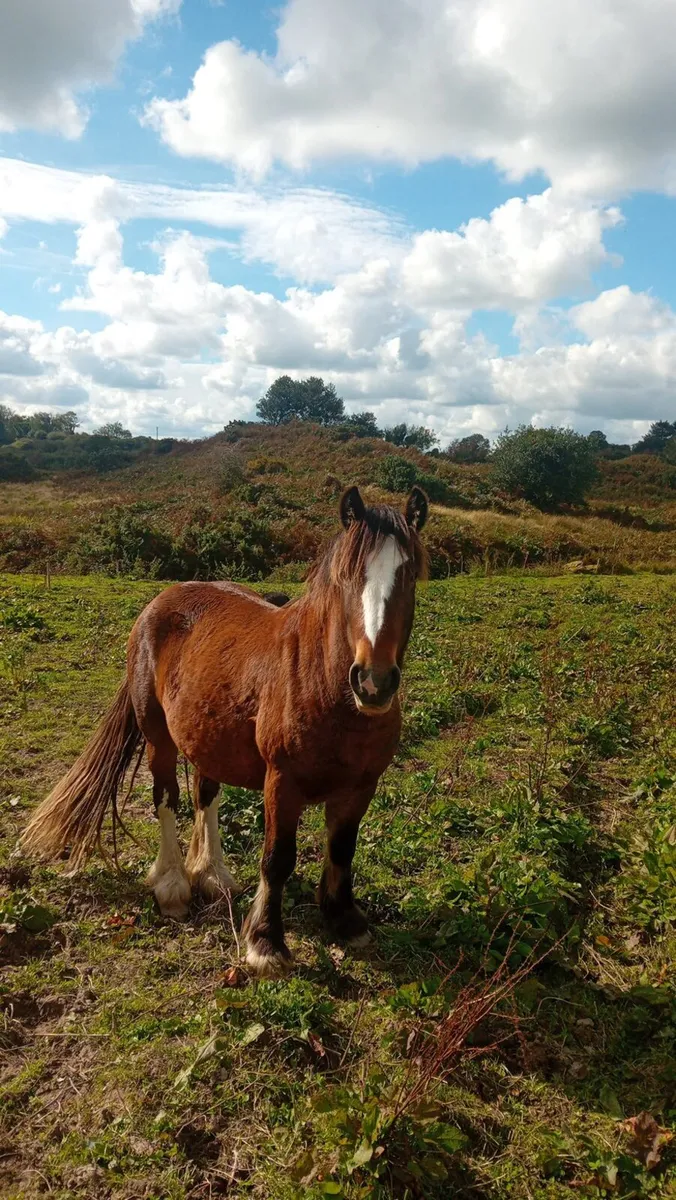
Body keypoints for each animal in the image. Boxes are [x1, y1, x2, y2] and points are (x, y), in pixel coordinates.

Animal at [22, 485, 428, 977]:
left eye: (410, 576)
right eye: (348, 576)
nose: (373, 681)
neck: (328, 690)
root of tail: (159, 603)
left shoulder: (362, 786)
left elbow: (342, 849)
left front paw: (344, 920)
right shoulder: (282, 783)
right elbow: (278, 859)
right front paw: (266, 943)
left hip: (206, 735)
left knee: (206, 794)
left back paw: (212, 874)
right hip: (158, 739)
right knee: (166, 798)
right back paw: (173, 884)